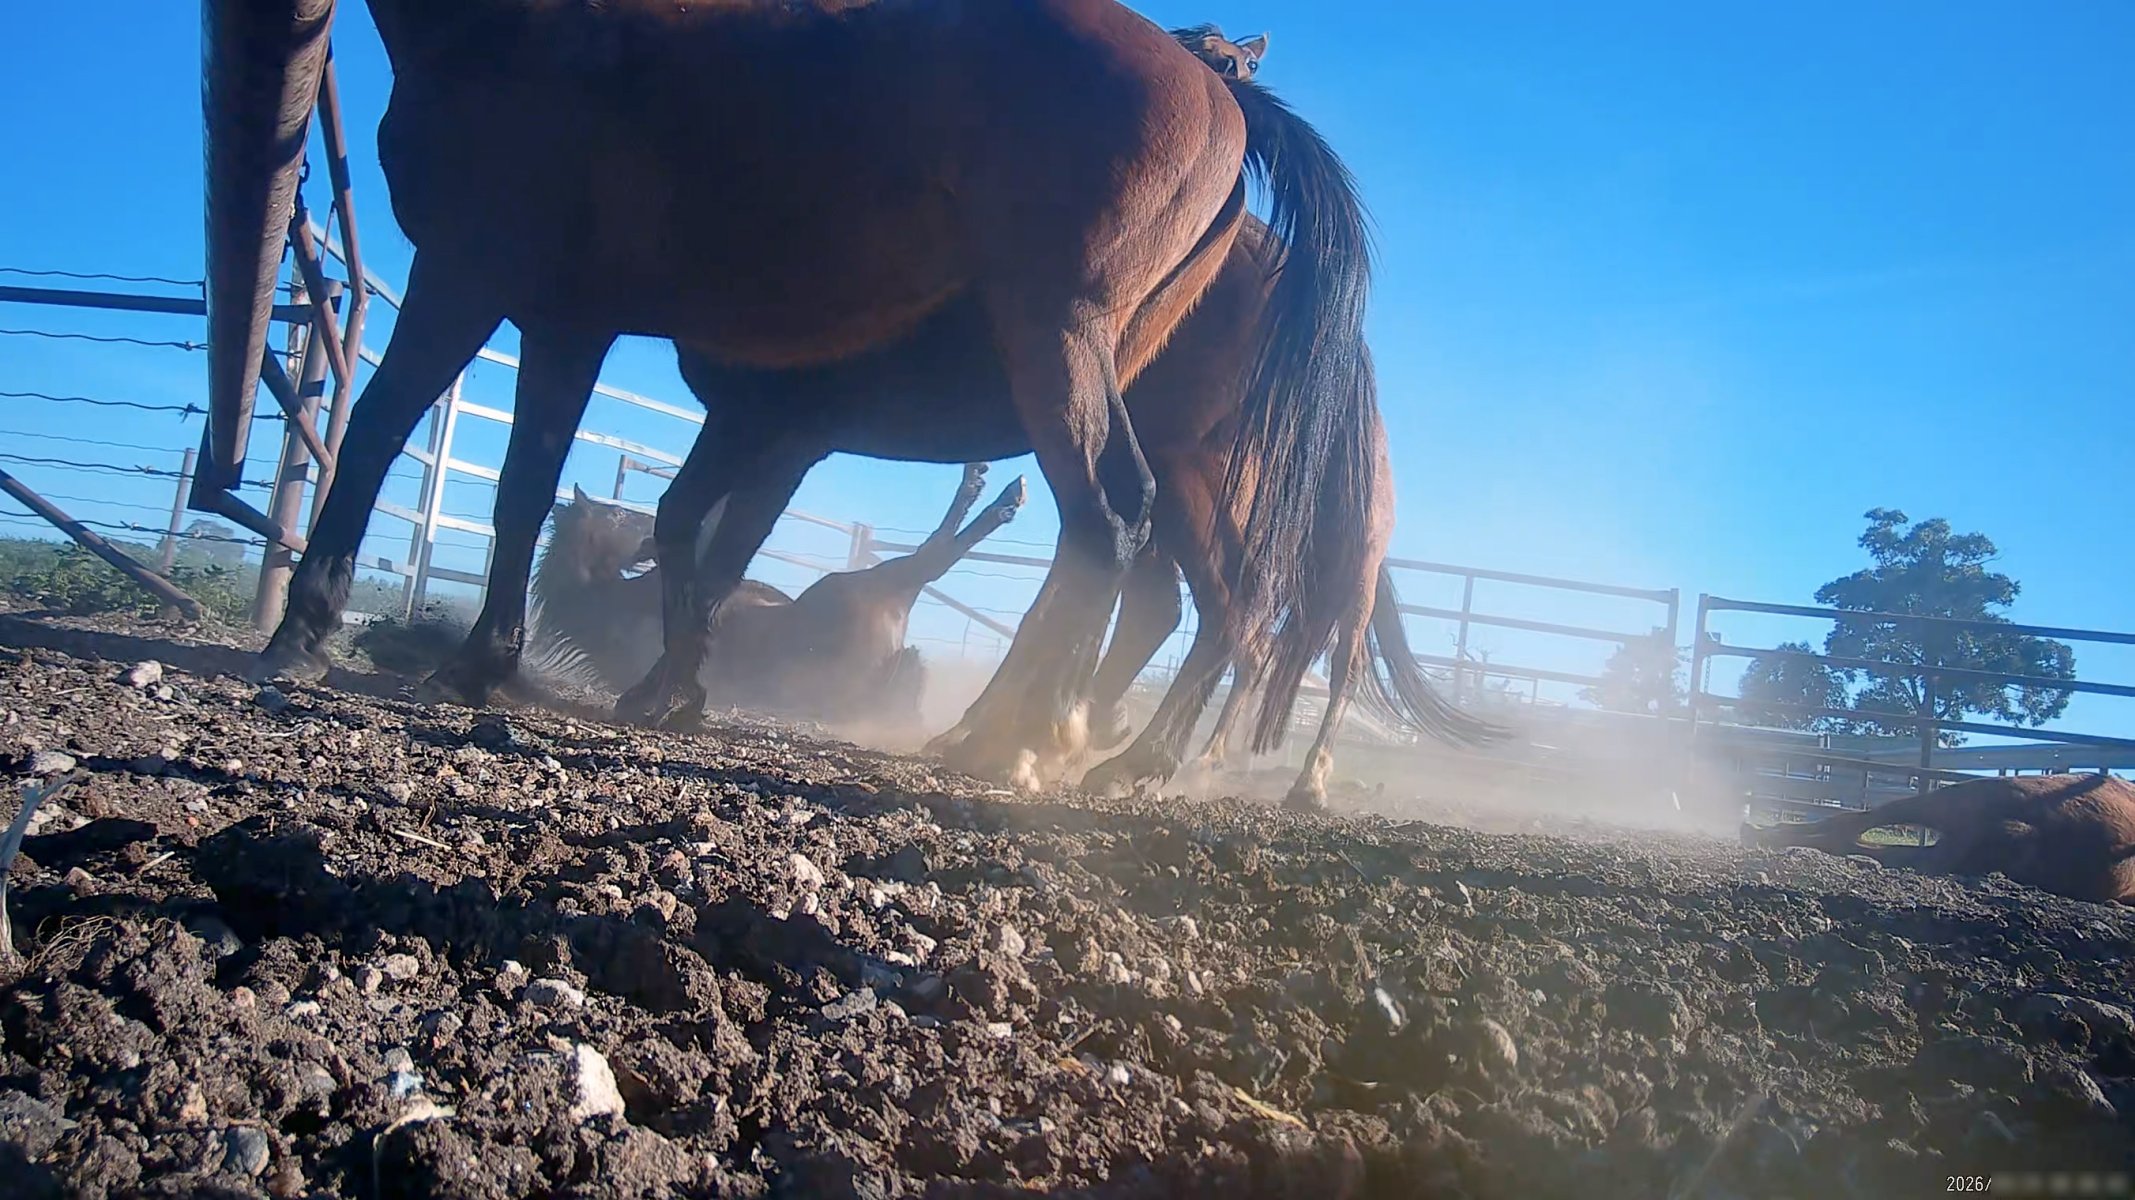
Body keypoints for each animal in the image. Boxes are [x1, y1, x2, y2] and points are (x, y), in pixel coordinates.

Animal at [216, 2, 1361, 786]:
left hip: (1085, 369)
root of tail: (1223, 102)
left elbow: (389, 435)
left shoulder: (476, 277)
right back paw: (1062, 738)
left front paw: (310, 632)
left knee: (1131, 543)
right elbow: (596, 506)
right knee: (1168, 590)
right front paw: (624, 680)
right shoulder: (593, 338)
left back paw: (1032, 741)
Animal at [1742, 773, 2135, 905]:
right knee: (1859, 824)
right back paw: (1756, 830)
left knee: (1859, 835)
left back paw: (1758, 831)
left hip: (1958, 820)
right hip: (1964, 800)